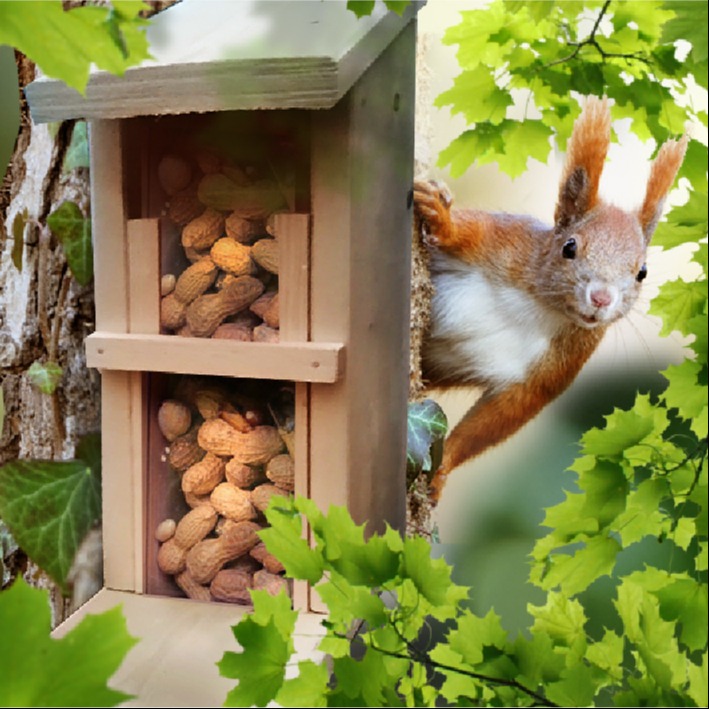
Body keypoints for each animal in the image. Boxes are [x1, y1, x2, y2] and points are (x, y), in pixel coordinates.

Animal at [414, 96, 687, 501]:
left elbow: (502, 416)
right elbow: (464, 230)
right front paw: (440, 215)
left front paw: (443, 466)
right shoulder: (502, 240)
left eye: (642, 272)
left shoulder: (562, 362)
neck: (539, 306)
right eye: (568, 247)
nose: (601, 298)